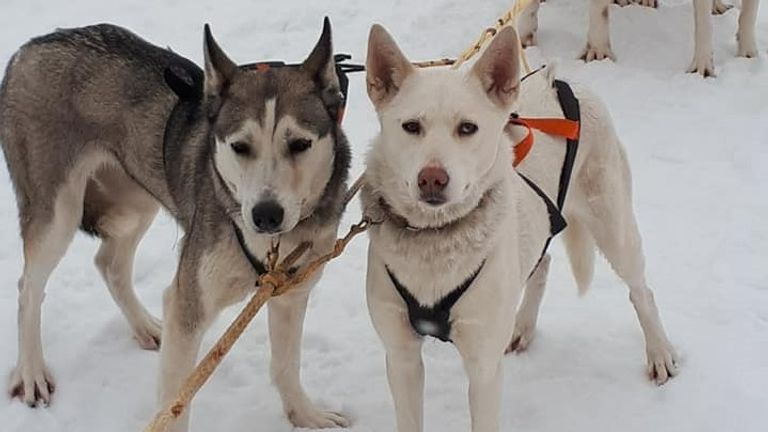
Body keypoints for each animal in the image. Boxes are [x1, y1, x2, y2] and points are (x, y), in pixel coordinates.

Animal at [0, 18, 352, 430]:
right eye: (240, 146)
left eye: (299, 144)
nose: (266, 214)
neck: (272, 246)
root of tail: (32, 46)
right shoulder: (188, 308)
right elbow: (174, 401)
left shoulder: (290, 294)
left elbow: (286, 365)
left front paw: (305, 414)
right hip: (59, 211)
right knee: (29, 289)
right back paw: (31, 371)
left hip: (136, 203)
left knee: (109, 263)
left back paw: (145, 327)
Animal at [360, 24, 680, 432]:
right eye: (411, 126)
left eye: (467, 128)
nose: (432, 178)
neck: (435, 242)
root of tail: (557, 79)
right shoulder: (401, 357)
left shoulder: (483, 367)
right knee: (541, 265)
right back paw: (523, 326)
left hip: (615, 228)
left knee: (641, 291)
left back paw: (659, 352)